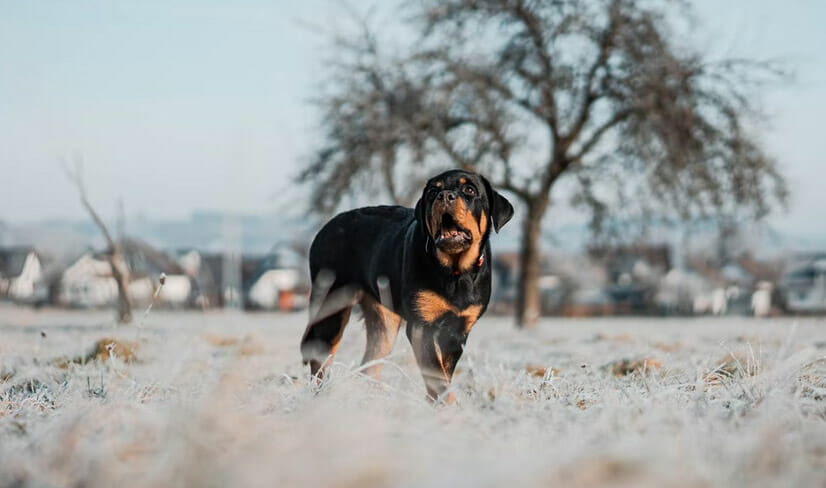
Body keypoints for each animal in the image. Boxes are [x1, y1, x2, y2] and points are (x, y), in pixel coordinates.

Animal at [300, 170, 512, 402]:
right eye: (433, 191)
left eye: (470, 190)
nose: (445, 196)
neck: (455, 272)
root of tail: (325, 229)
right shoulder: (422, 326)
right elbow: (436, 375)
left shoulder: (457, 332)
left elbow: (443, 373)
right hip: (331, 308)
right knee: (320, 363)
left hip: (385, 323)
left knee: (369, 364)